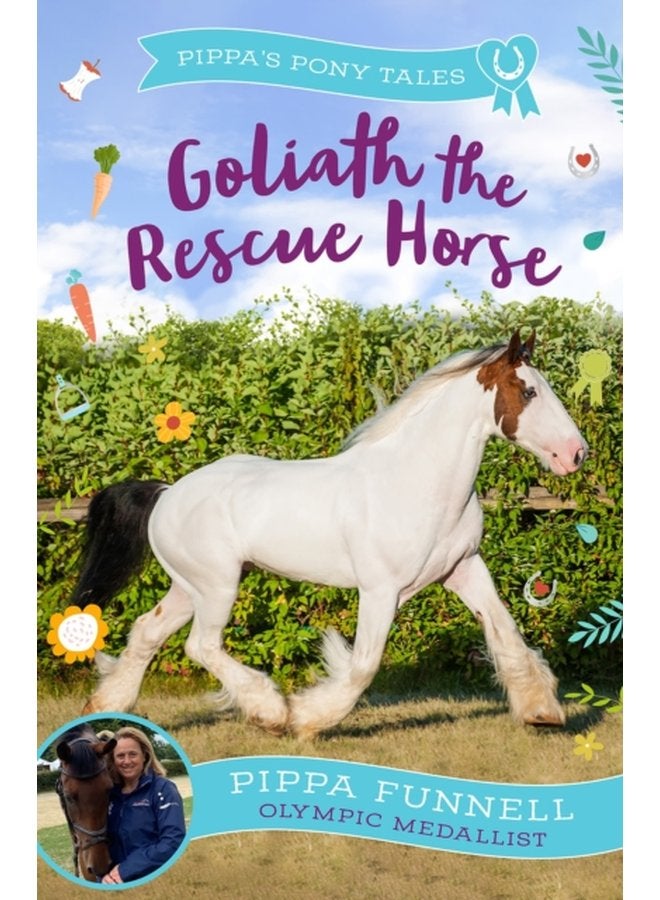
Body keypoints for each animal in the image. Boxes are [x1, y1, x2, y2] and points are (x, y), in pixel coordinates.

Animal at [73, 330, 587, 738]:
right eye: (528, 391)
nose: (576, 454)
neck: (417, 482)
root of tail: (167, 493)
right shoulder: (381, 590)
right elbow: (362, 665)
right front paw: (306, 719)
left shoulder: (463, 570)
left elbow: (508, 636)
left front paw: (542, 712)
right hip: (217, 585)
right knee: (201, 645)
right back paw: (269, 711)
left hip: (190, 586)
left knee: (147, 631)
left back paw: (105, 707)